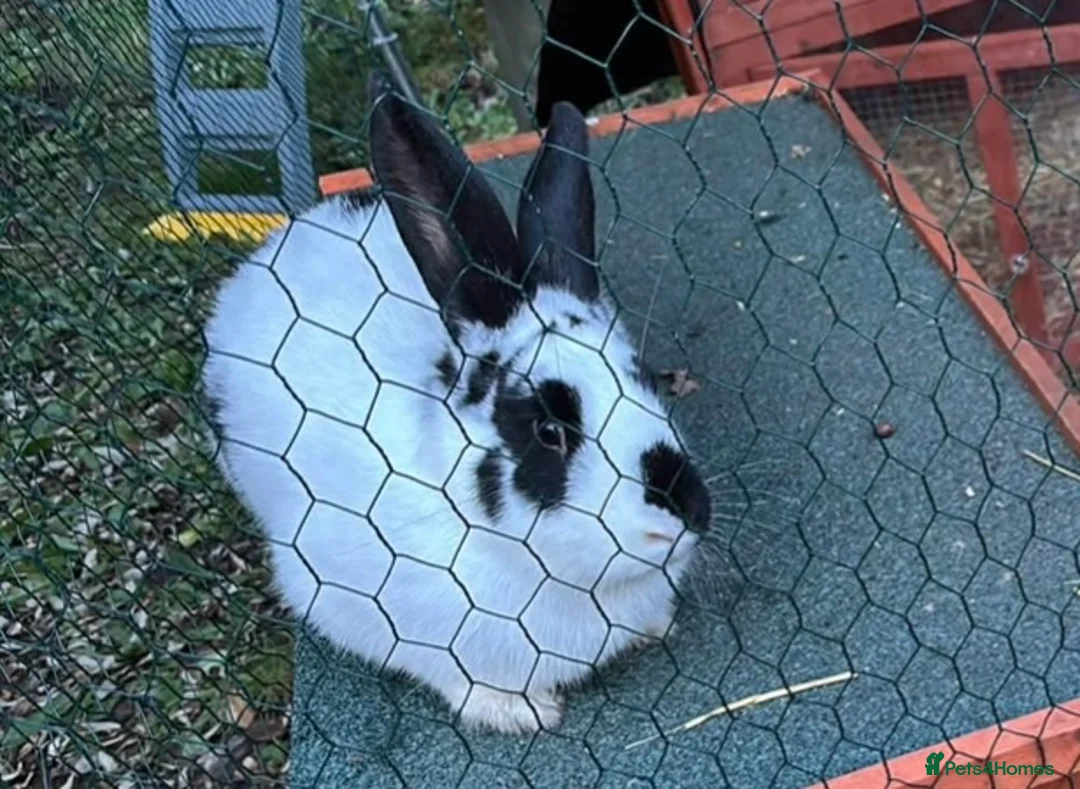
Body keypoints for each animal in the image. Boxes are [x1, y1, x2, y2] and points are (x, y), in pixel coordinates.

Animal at [200, 75, 711, 735]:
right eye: (548, 430)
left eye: (645, 378)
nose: (687, 514)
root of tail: (269, 251)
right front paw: (523, 713)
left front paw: (655, 626)